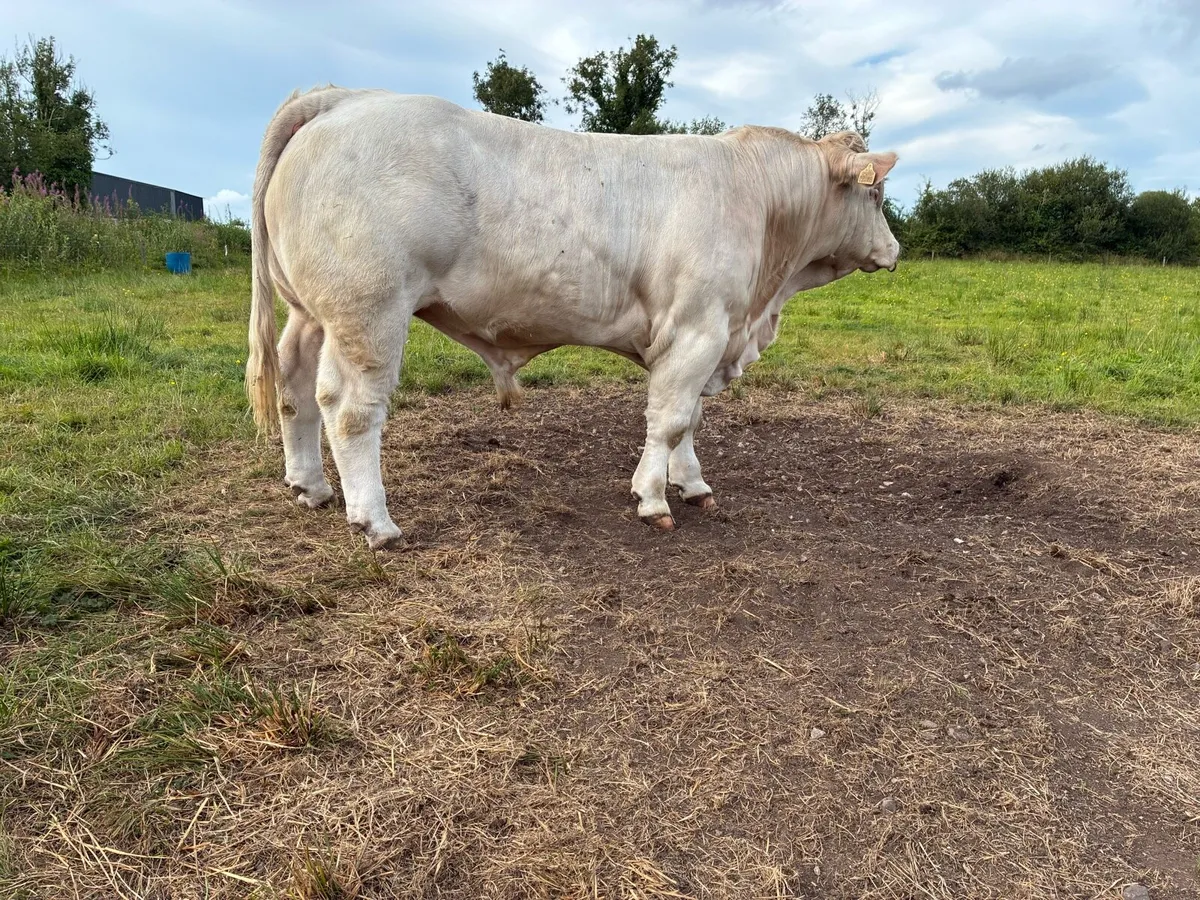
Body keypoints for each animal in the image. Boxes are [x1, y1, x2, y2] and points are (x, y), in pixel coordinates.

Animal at [245, 86, 900, 550]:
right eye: (876, 196)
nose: (894, 250)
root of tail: (347, 97)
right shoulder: (698, 328)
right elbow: (668, 419)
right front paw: (653, 499)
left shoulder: (706, 337)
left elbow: (688, 420)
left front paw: (692, 484)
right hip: (369, 310)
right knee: (349, 409)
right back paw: (375, 522)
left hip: (310, 312)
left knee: (294, 389)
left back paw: (311, 486)